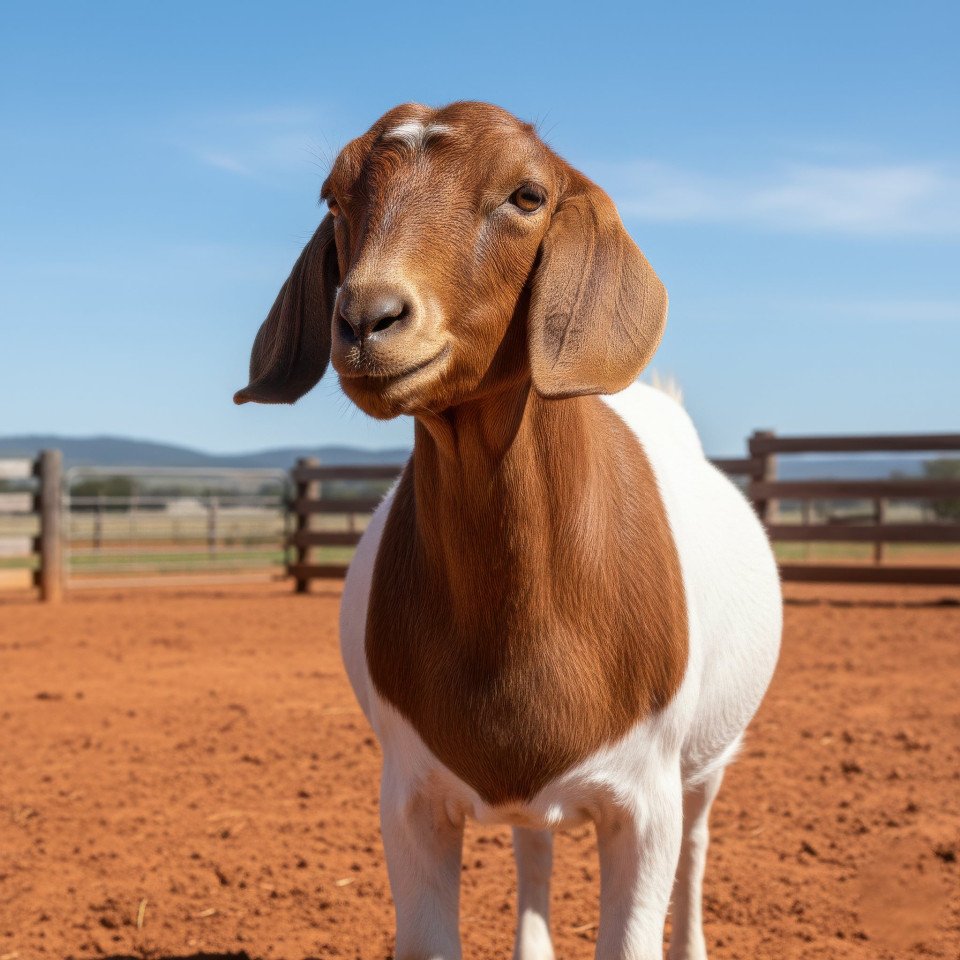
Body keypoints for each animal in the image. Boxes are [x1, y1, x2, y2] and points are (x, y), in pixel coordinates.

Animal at [235, 101, 782, 960]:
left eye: (527, 196)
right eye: (334, 198)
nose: (366, 317)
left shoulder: (646, 800)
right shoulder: (409, 797)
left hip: (709, 758)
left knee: (696, 843)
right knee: (535, 843)